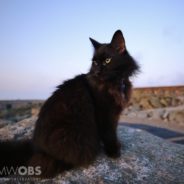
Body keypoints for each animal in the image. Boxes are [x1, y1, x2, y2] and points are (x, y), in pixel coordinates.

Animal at [0, 29, 139, 178]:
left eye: (107, 60)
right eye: (95, 63)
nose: (96, 72)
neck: (114, 83)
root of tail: (35, 148)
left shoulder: (114, 114)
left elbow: (113, 131)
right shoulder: (105, 113)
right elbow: (109, 133)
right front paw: (113, 151)